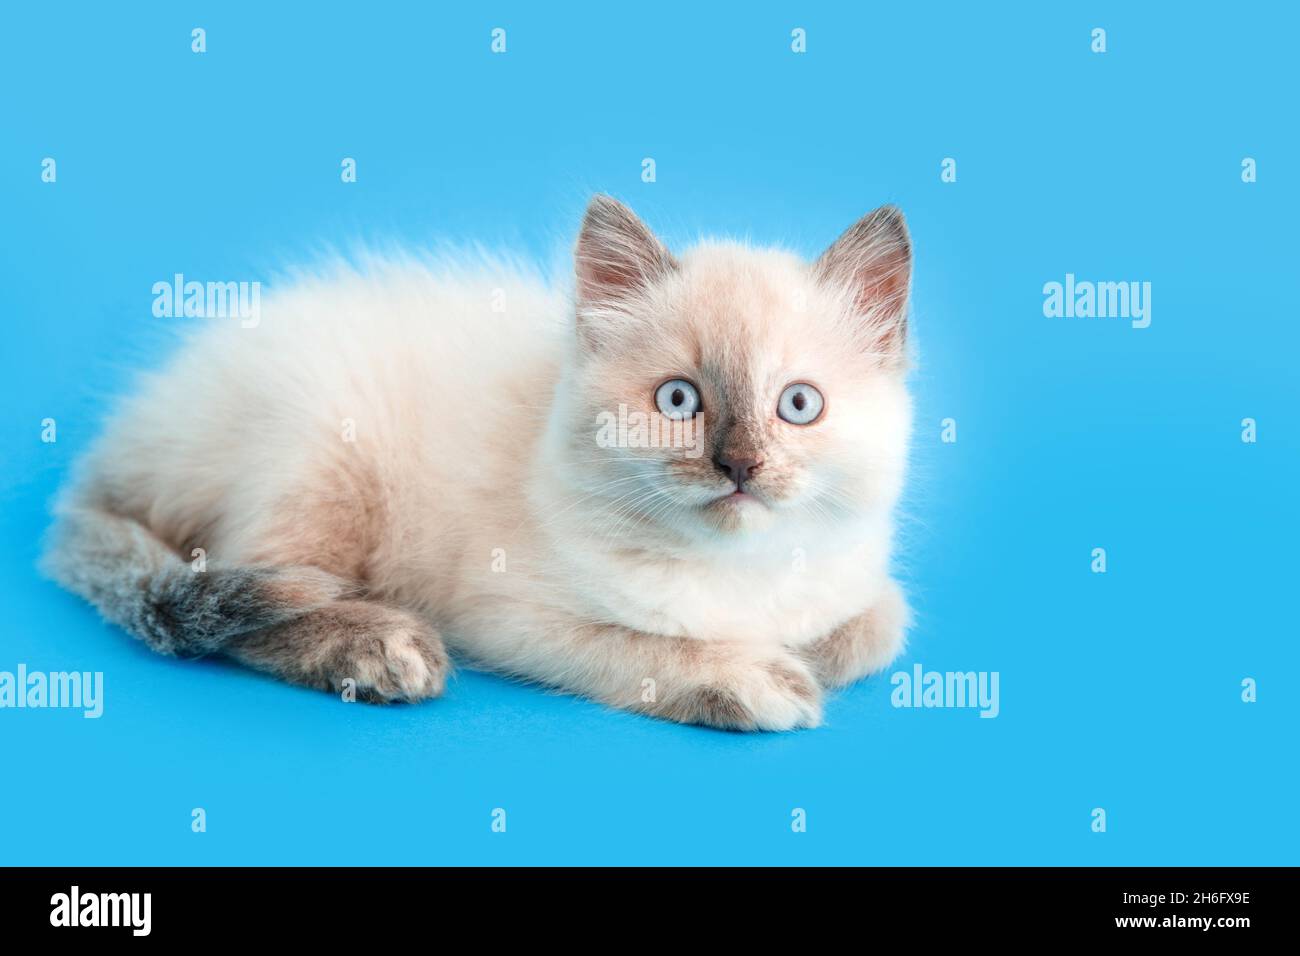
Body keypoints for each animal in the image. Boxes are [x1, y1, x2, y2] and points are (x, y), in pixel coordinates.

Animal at [43, 196, 915, 733]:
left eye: (797, 405)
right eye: (678, 400)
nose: (740, 465)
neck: (744, 578)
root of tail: (127, 434)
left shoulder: (860, 582)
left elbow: (874, 628)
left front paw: (808, 652)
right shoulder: (507, 615)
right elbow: (643, 648)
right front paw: (758, 678)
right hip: (319, 449)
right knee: (249, 603)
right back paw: (380, 649)